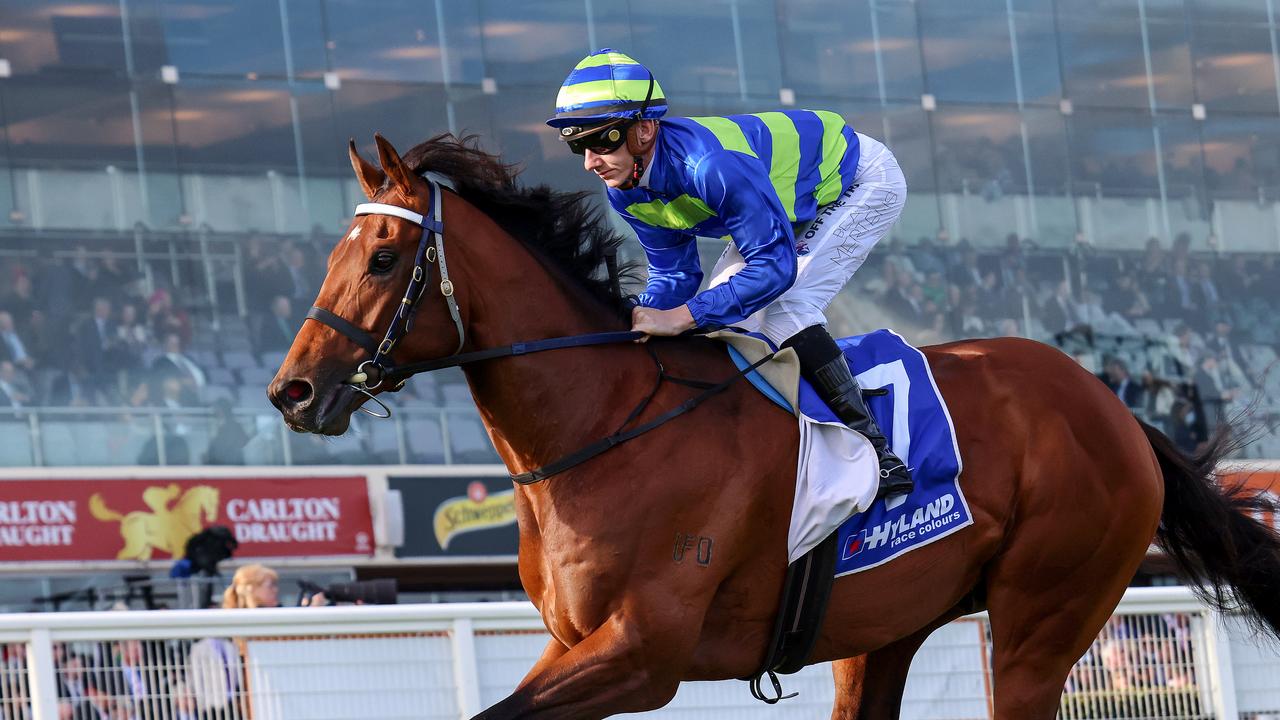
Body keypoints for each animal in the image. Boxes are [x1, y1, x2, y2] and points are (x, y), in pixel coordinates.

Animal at [267, 131, 1280, 712]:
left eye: (384, 256)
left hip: (1044, 619)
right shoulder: (570, 643)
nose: (292, 392)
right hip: (885, 629)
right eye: (334, 254)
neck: (604, 430)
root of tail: (1114, 409)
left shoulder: (644, 653)